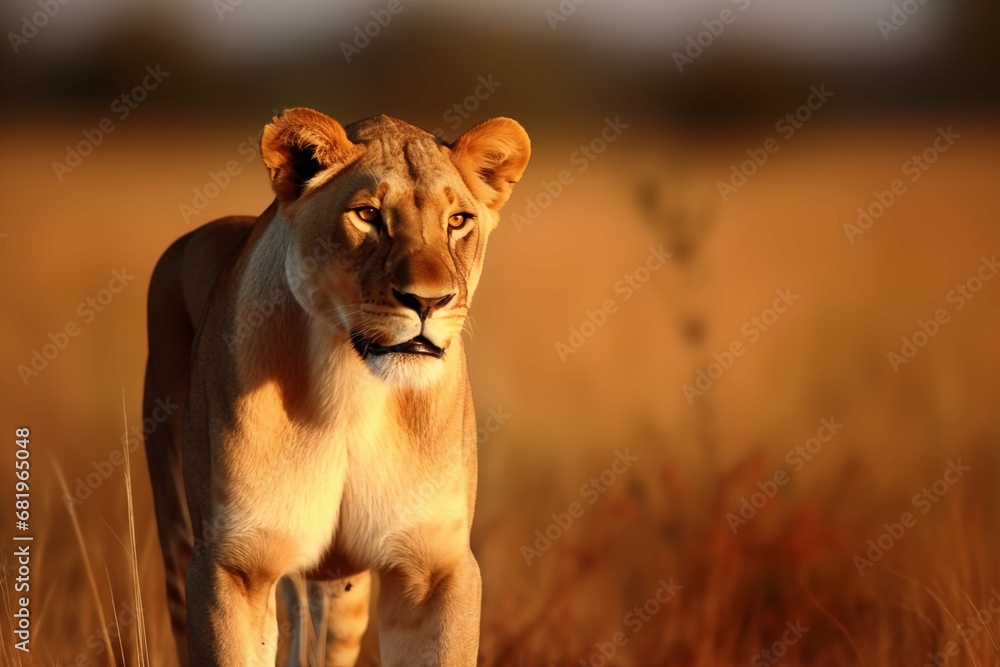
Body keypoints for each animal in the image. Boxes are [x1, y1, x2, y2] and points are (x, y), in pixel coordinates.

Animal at [142, 108, 530, 666]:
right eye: (367, 215)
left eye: (458, 221)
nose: (428, 301)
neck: (352, 386)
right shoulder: (232, 563)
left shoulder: (435, 566)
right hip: (176, 529)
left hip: (339, 592)